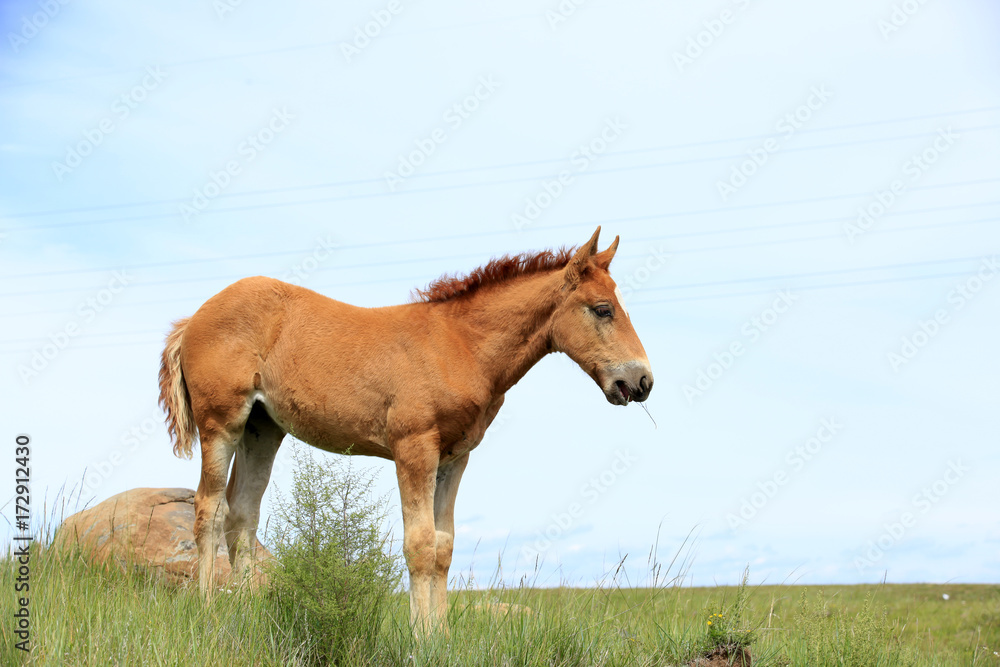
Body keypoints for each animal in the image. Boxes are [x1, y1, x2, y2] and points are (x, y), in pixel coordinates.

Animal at [157, 226, 653, 633]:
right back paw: (207, 612)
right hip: (222, 423)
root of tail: (192, 320)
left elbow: (443, 547)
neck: (460, 346)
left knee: (242, 515)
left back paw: (243, 614)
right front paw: (420, 638)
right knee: (209, 510)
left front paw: (441, 636)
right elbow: (419, 543)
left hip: (262, 429)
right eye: (603, 310)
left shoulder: (454, 457)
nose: (643, 381)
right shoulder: (414, 449)